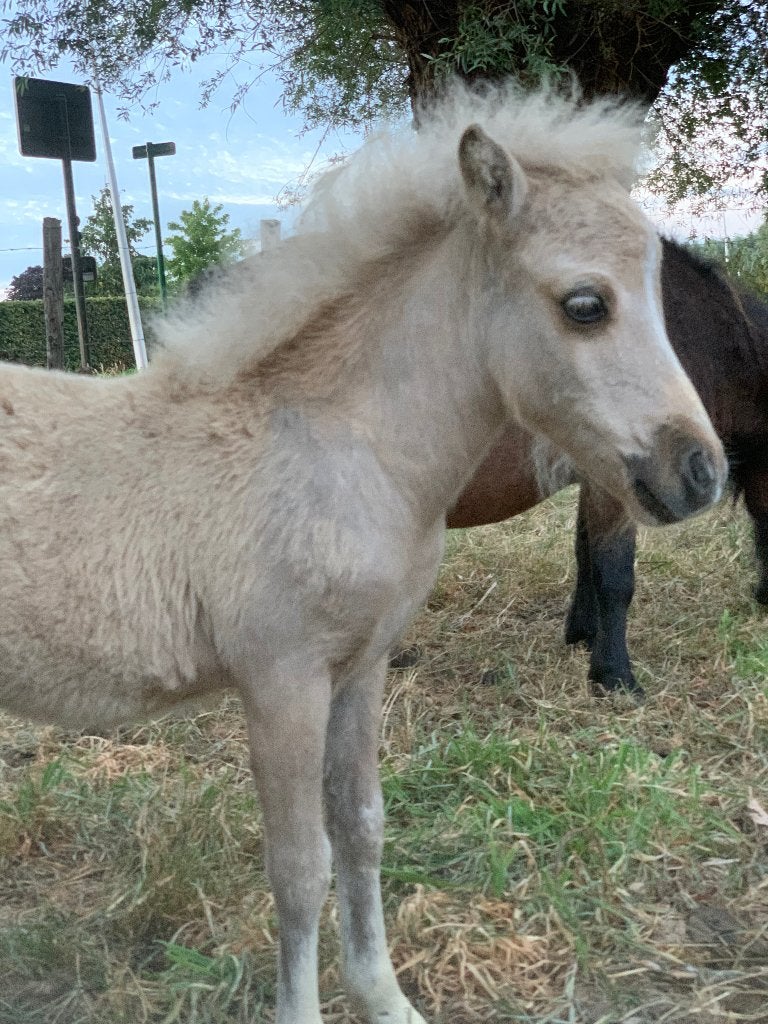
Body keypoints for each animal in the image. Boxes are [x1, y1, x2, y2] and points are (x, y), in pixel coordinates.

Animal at [0, 86, 726, 1024]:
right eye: (584, 305)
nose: (700, 471)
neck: (338, 448)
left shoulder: (361, 667)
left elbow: (362, 829)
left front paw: (384, 997)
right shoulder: (282, 682)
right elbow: (299, 867)